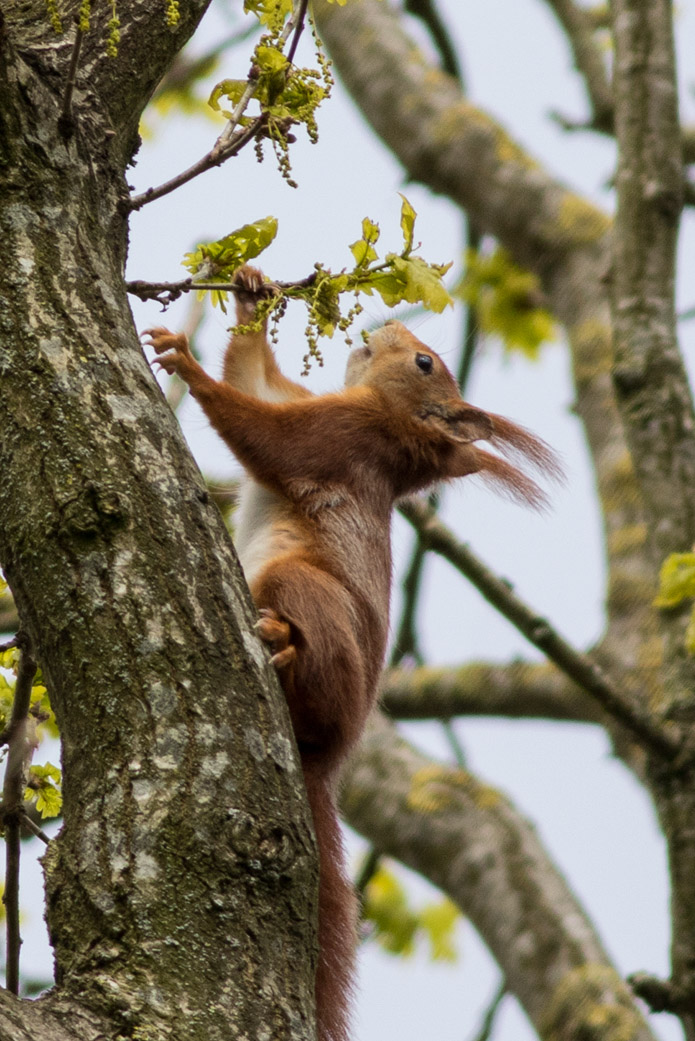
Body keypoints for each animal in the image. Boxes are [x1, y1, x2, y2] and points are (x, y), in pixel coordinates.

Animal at [145, 266, 557, 1041]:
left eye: (424, 362)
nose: (387, 327)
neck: (391, 427)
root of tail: (330, 756)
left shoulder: (340, 438)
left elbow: (264, 431)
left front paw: (187, 366)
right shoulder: (317, 406)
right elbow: (260, 377)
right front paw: (250, 291)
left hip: (302, 588)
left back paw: (281, 648)